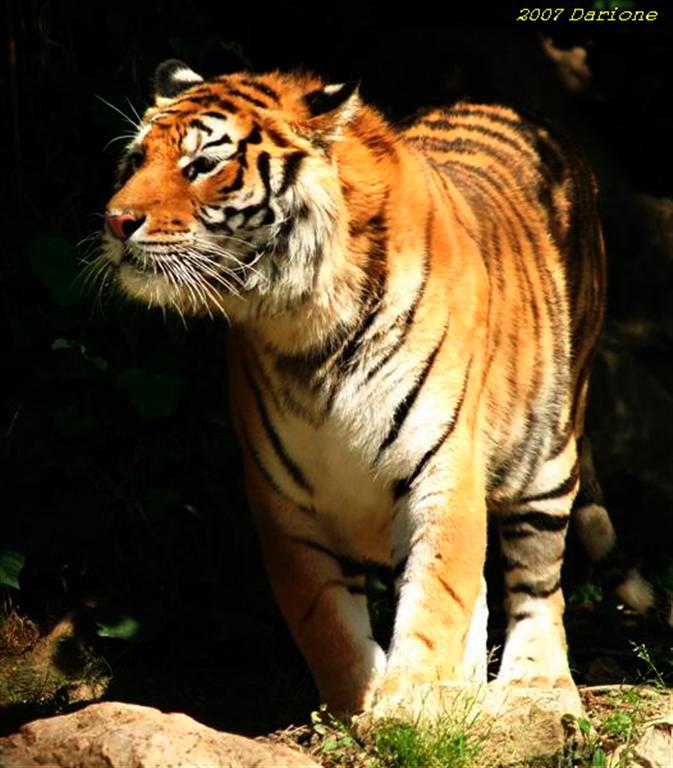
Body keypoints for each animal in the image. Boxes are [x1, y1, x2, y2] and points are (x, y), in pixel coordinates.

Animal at [101, 59, 672, 718]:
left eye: (202, 165)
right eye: (136, 159)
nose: (115, 222)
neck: (304, 321)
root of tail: (526, 113)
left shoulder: (443, 466)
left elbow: (437, 595)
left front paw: (411, 706)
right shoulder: (282, 498)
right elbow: (325, 621)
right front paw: (362, 703)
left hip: (548, 450)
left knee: (537, 584)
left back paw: (536, 683)